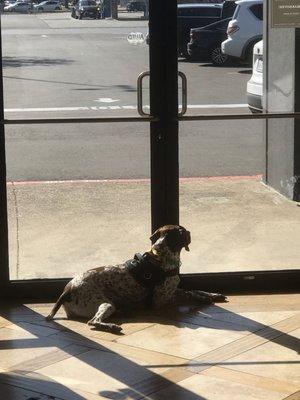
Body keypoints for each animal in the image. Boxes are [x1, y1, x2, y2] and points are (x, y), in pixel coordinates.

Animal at [45, 223, 226, 332]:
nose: (190, 233)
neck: (160, 257)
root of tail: (67, 290)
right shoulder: (161, 300)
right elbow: (189, 294)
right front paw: (204, 300)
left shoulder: (173, 289)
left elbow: (193, 290)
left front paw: (213, 295)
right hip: (106, 304)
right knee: (93, 321)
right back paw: (112, 326)